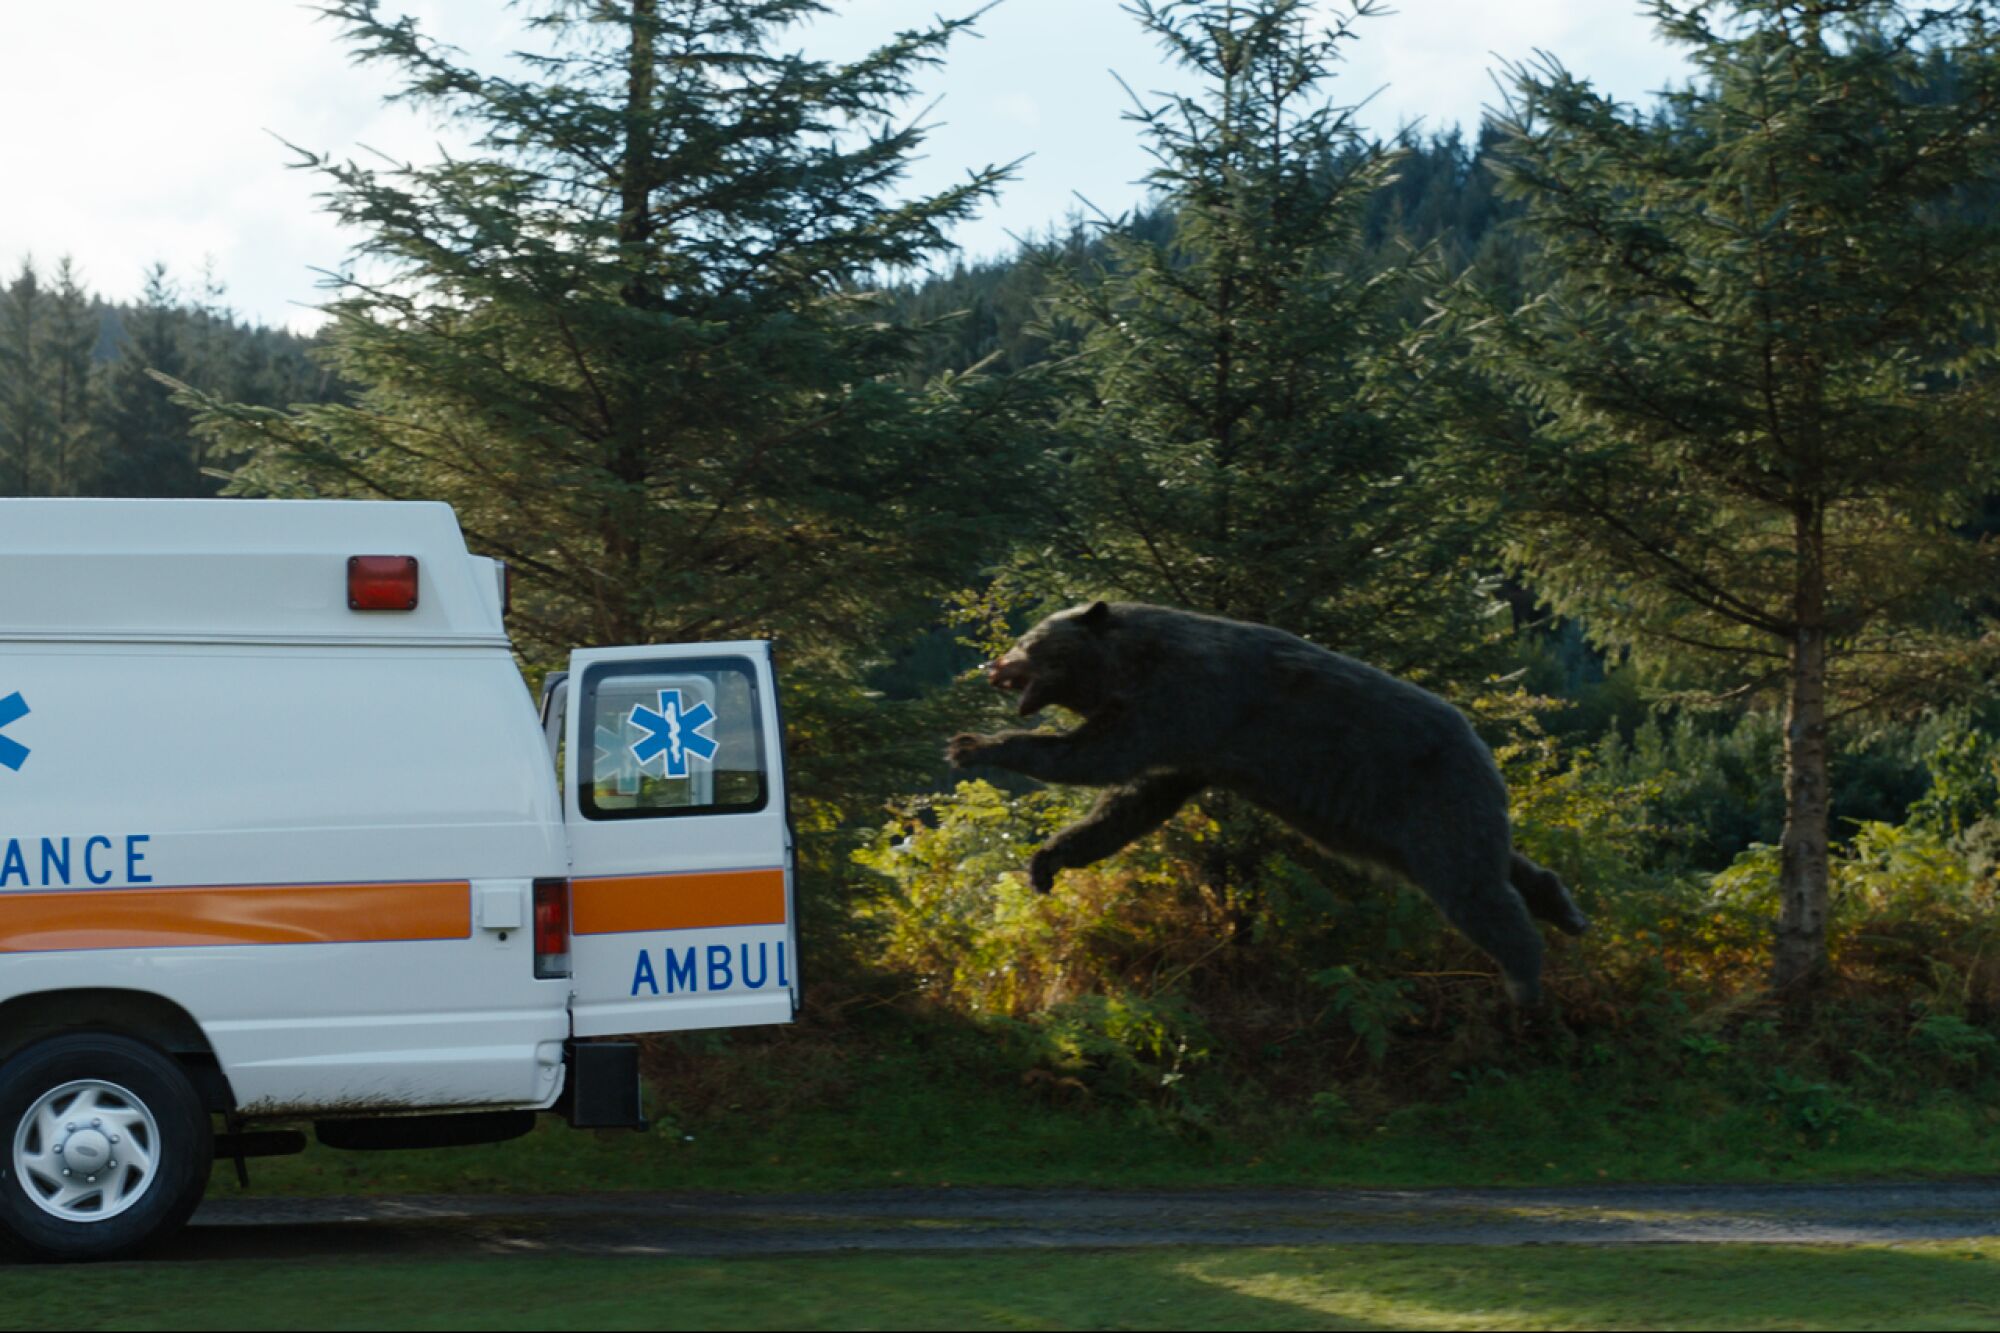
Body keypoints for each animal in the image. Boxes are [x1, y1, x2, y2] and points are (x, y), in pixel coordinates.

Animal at [944, 600, 1589, 1004]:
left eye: (1028, 641)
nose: (993, 664)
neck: (1133, 664)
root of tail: (1484, 745)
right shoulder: (1192, 749)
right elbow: (1130, 804)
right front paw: (1046, 861)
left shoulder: (1185, 701)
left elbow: (1094, 757)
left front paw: (973, 745)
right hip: (1411, 826)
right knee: (1500, 865)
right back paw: (1565, 908)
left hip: (1427, 797)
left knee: (1475, 892)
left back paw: (1525, 981)